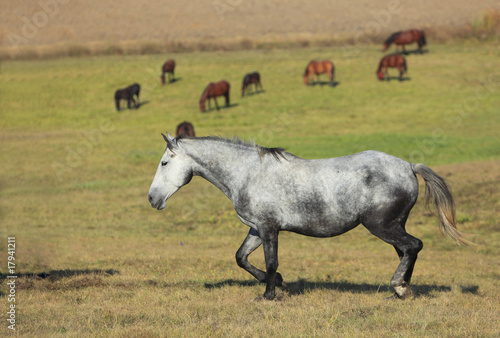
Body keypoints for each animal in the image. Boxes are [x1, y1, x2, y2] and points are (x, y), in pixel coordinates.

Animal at [147, 133, 468, 300]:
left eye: (164, 163)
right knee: (406, 250)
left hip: (381, 225)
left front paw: (269, 295)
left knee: (413, 246)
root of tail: (409, 166)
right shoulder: (256, 228)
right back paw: (401, 291)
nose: (152, 198)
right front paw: (280, 283)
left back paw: (399, 286)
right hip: (393, 226)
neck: (249, 173)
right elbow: (241, 257)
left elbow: (271, 261)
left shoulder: (269, 228)